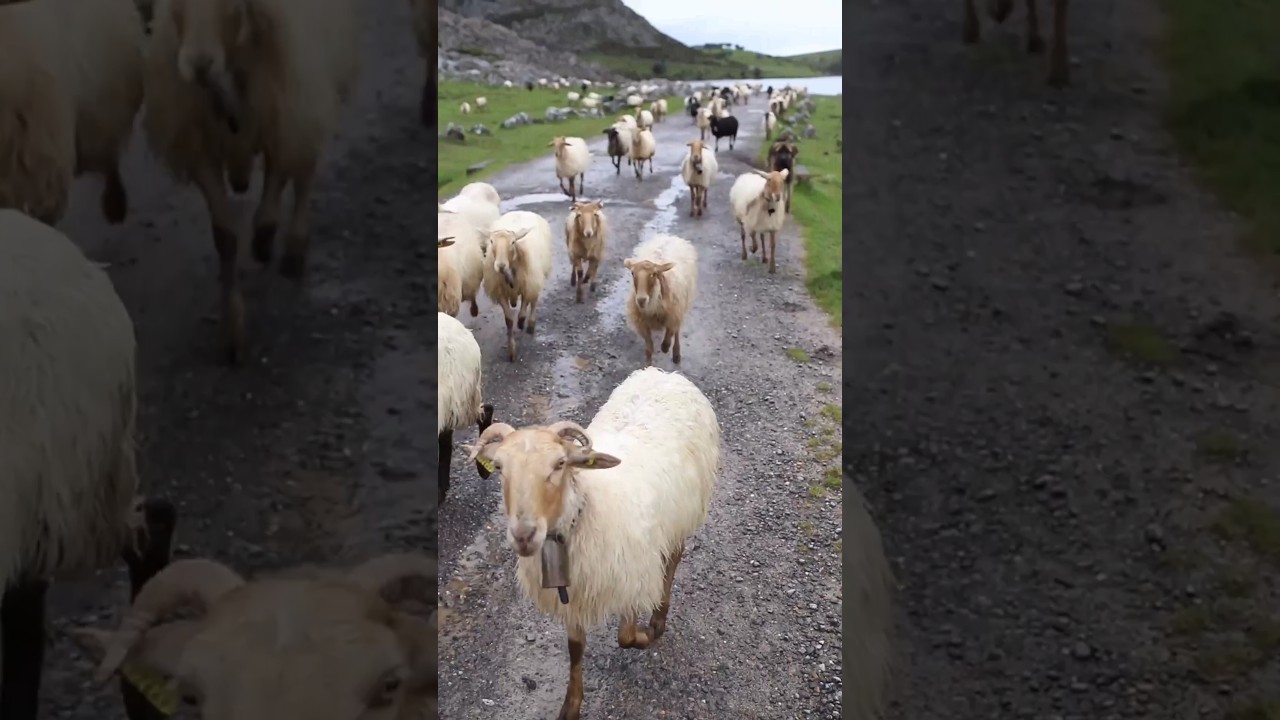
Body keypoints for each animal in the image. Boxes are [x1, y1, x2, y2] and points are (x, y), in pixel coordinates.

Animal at [142, 0, 359, 364]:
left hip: (312, 85)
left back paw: (293, 246)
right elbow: (226, 237)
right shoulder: (201, 152)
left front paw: (266, 233)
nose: (198, 65)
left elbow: (276, 180)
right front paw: (232, 329)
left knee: (304, 171)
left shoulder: (285, 104)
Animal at [464, 366, 720, 720]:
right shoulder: (573, 592)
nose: (523, 535)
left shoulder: (630, 574)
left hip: (683, 512)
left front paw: (645, 635)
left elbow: (626, 636)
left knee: (672, 561)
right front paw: (571, 705)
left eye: (560, 464)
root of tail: (666, 374)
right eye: (500, 468)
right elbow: (575, 649)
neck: (583, 508)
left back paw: (658, 618)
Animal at [482, 211, 554, 362]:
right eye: (491, 241)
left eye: (513, 242)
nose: (500, 265)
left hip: (536, 278)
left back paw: (530, 324)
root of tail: (522, 211)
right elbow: (509, 321)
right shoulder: (501, 294)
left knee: (534, 301)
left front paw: (521, 322)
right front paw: (512, 351)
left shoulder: (527, 285)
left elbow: (523, 309)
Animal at [622, 234, 697, 366]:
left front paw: (666, 347)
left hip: (681, 304)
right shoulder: (643, 325)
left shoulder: (673, 315)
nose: (641, 299)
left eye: (653, 274)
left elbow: (668, 337)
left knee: (677, 331)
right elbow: (649, 349)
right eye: (632, 273)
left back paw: (676, 354)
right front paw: (649, 367)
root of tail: (670, 237)